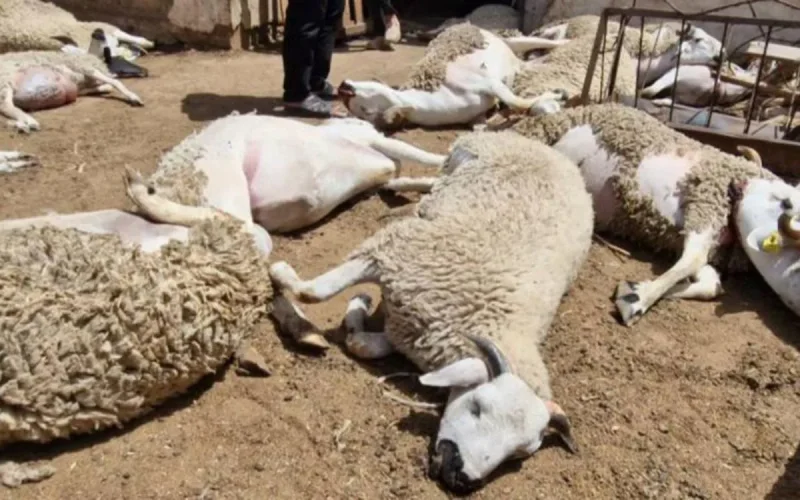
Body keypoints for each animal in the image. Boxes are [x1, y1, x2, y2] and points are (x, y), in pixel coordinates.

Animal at [1, 50, 144, 133]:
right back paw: (29, 122)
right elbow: (115, 82)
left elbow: (107, 86)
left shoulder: (77, 83)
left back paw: (21, 124)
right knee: (6, 106)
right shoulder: (84, 68)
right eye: (121, 59)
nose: (144, 72)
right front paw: (133, 97)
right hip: (5, 80)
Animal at [267, 129, 594, 492]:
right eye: (478, 408)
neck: (500, 320)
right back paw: (401, 184)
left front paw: (358, 311)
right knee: (437, 170)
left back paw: (400, 184)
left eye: (518, 453)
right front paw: (281, 274)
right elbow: (311, 292)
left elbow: (365, 345)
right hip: (461, 160)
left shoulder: (416, 328)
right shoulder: (391, 251)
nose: (460, 477)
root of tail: (545, 148)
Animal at [338, 23, 570, 129]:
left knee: (549, 43)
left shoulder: (489, 82)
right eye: (365, 112)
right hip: (517, 61)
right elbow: (483, 127)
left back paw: (568, 40)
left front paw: (558, 95)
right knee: (533, 61)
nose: (342, 87)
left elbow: (517, 102)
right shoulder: (478, 115)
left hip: (510, 42)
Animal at [505, 102, 800, 326]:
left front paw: (643, 289)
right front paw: (637, 299)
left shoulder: (715, 243)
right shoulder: (706, 203)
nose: (737, 187)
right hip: (545, 132)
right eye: (784, 202)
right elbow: (692, 259)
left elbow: (711, 284)